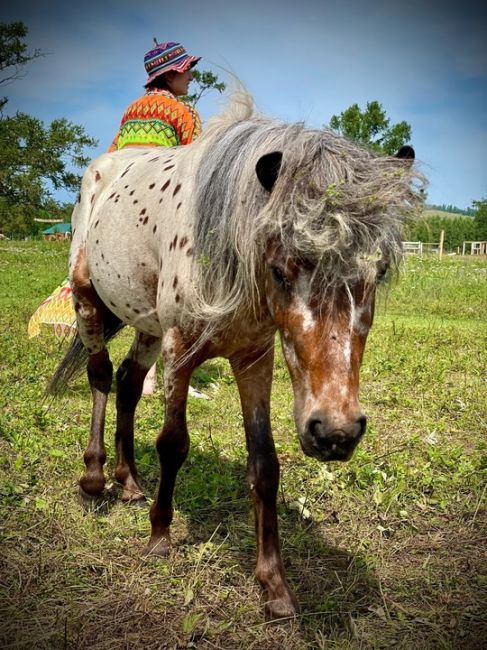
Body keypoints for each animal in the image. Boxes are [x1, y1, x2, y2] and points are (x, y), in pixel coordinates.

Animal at [47, 91, 426, 616]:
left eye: (380, 270)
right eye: (281, 270)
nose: (335, 433)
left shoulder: (254, 360)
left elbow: (264, 464)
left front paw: (275, 586)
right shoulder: (180, 352)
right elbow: (173, 444)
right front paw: (160, 538)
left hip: (145, 325)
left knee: (127, 383)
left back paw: (129, 482)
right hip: (88, 300)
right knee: (100, 376)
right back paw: (94, 476)